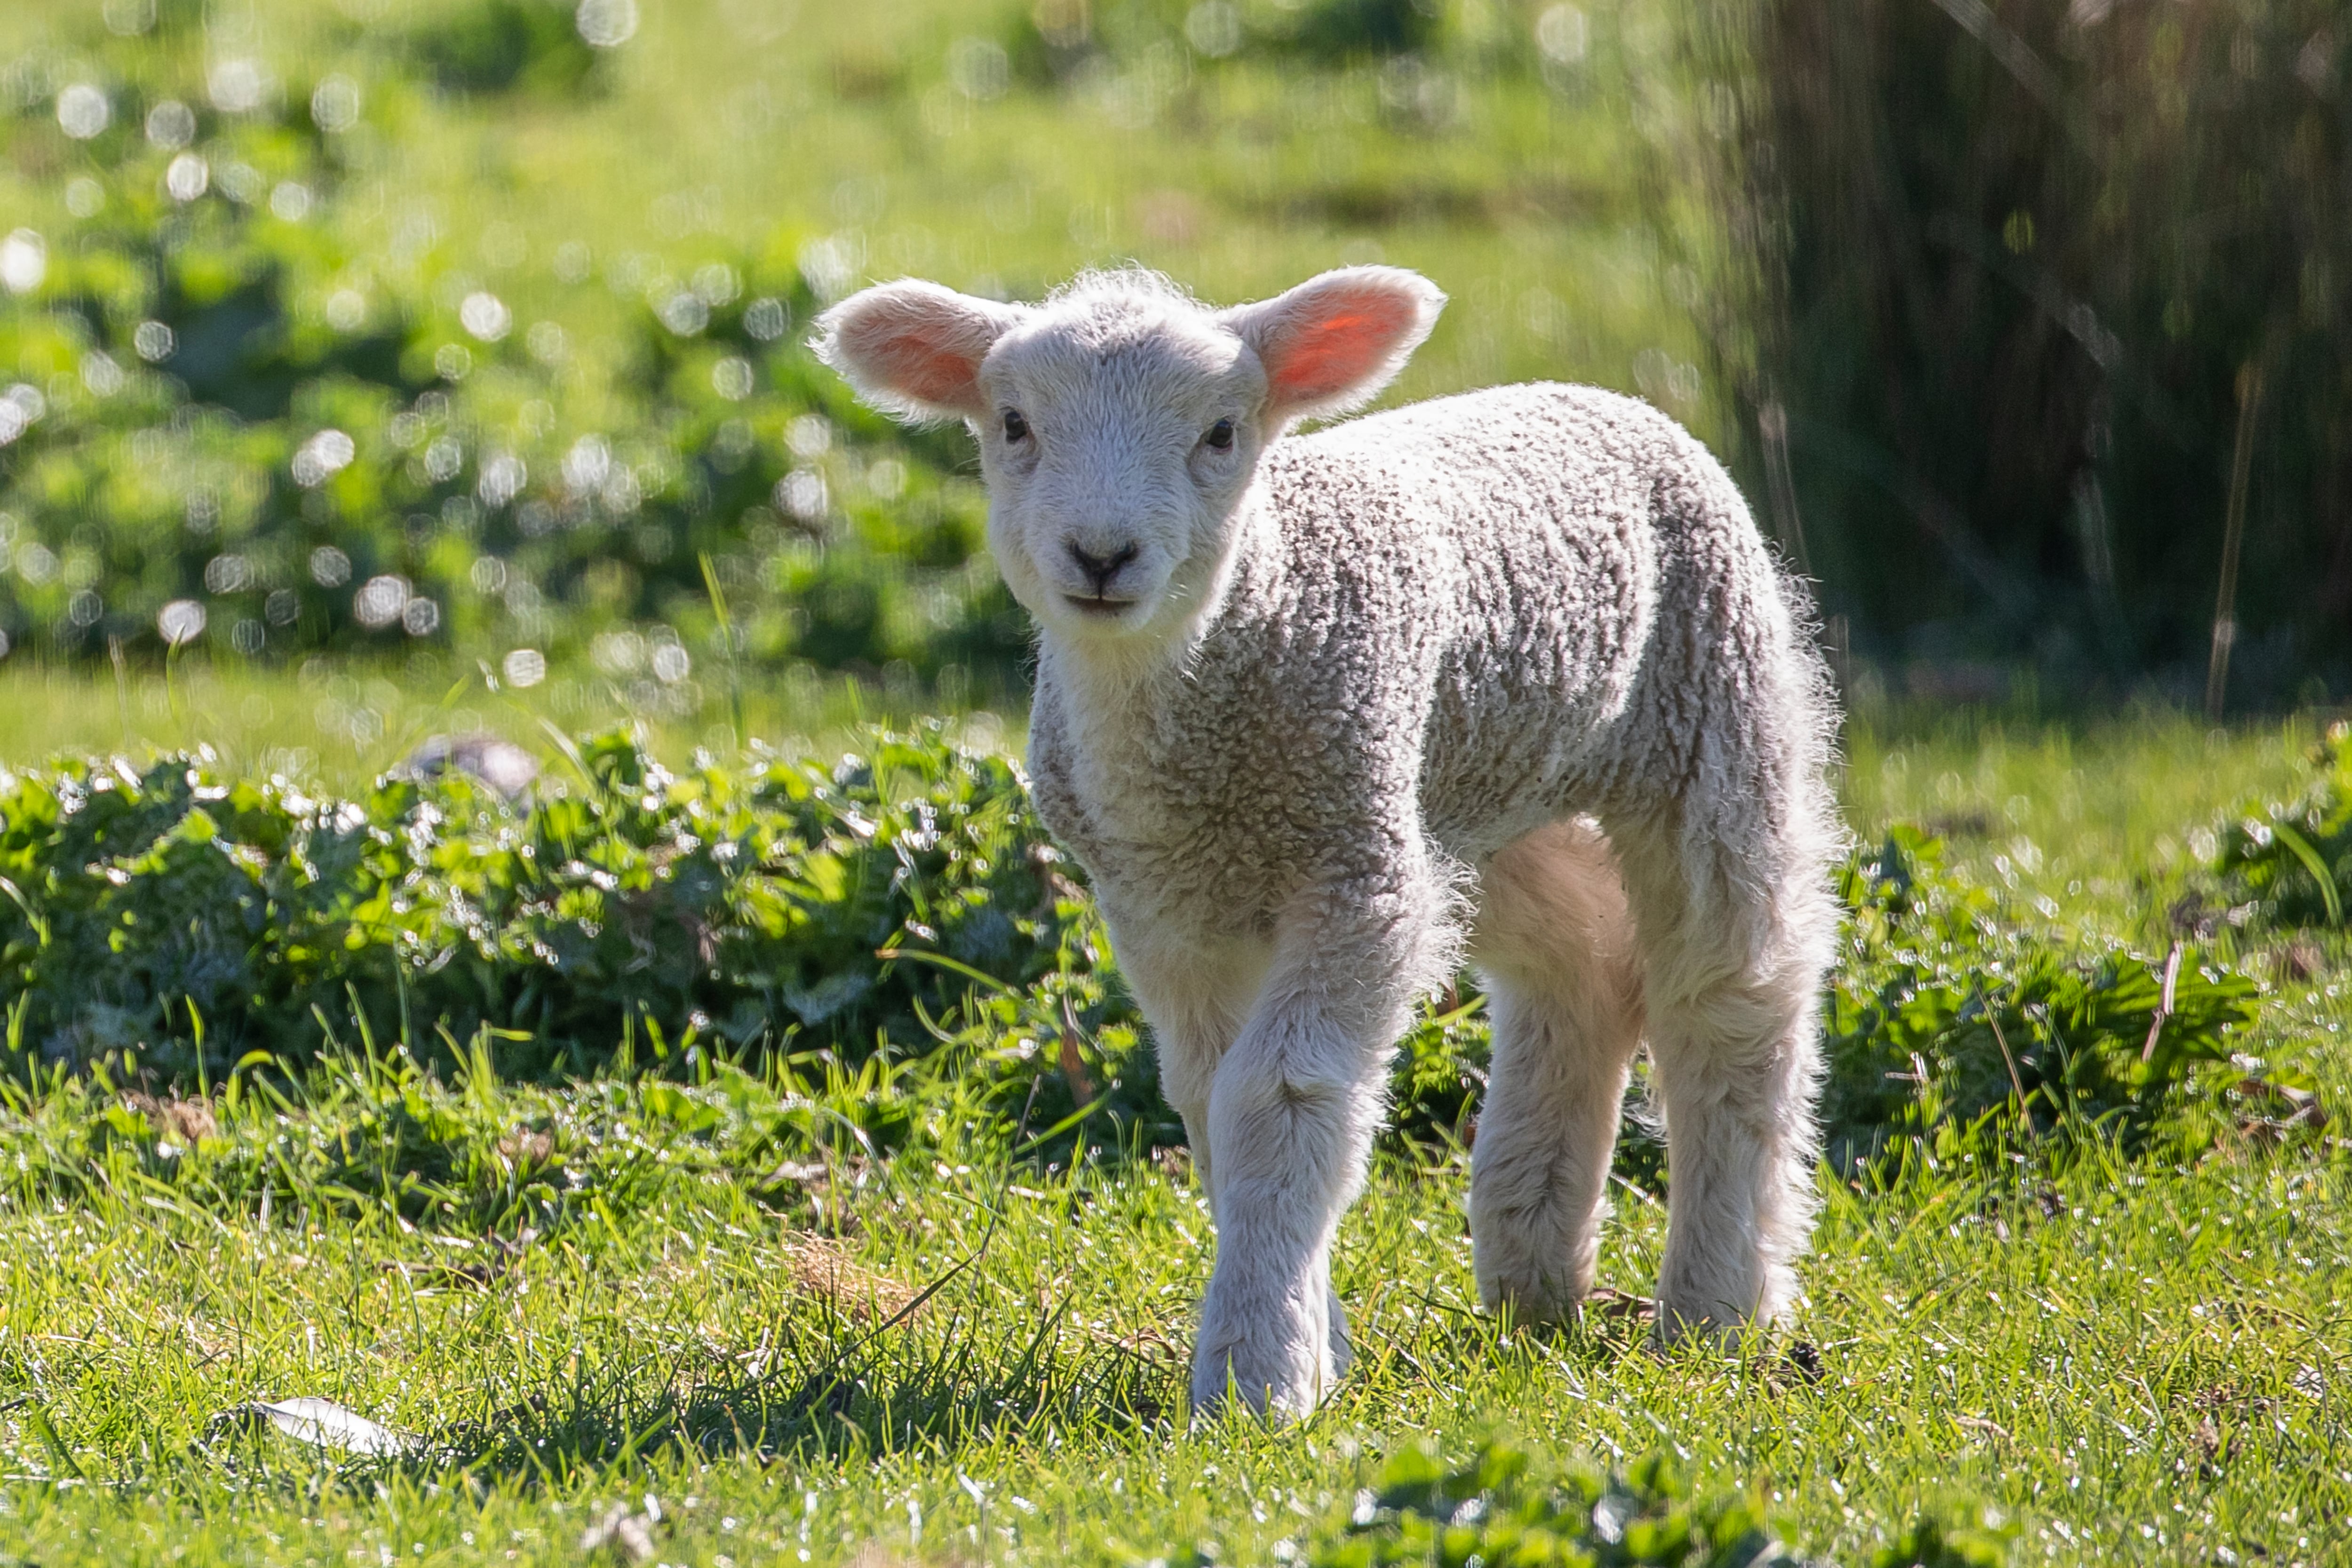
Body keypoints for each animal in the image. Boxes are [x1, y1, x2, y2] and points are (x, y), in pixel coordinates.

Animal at [818, 263, 1844, 1420]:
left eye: (1222, 431)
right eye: (1013, 425)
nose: (1103, 555)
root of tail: (1592, 394)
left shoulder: (1354, 877)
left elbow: (1280, 1097)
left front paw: (1255, 1377)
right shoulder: (1168, 908)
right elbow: (1210, 1103)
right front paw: (1317, 1344)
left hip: (1711, 710)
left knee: (1731, 999)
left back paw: (1715, 1311)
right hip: (1468, 801)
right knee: (1583, 971)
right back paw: (1535, 1277)